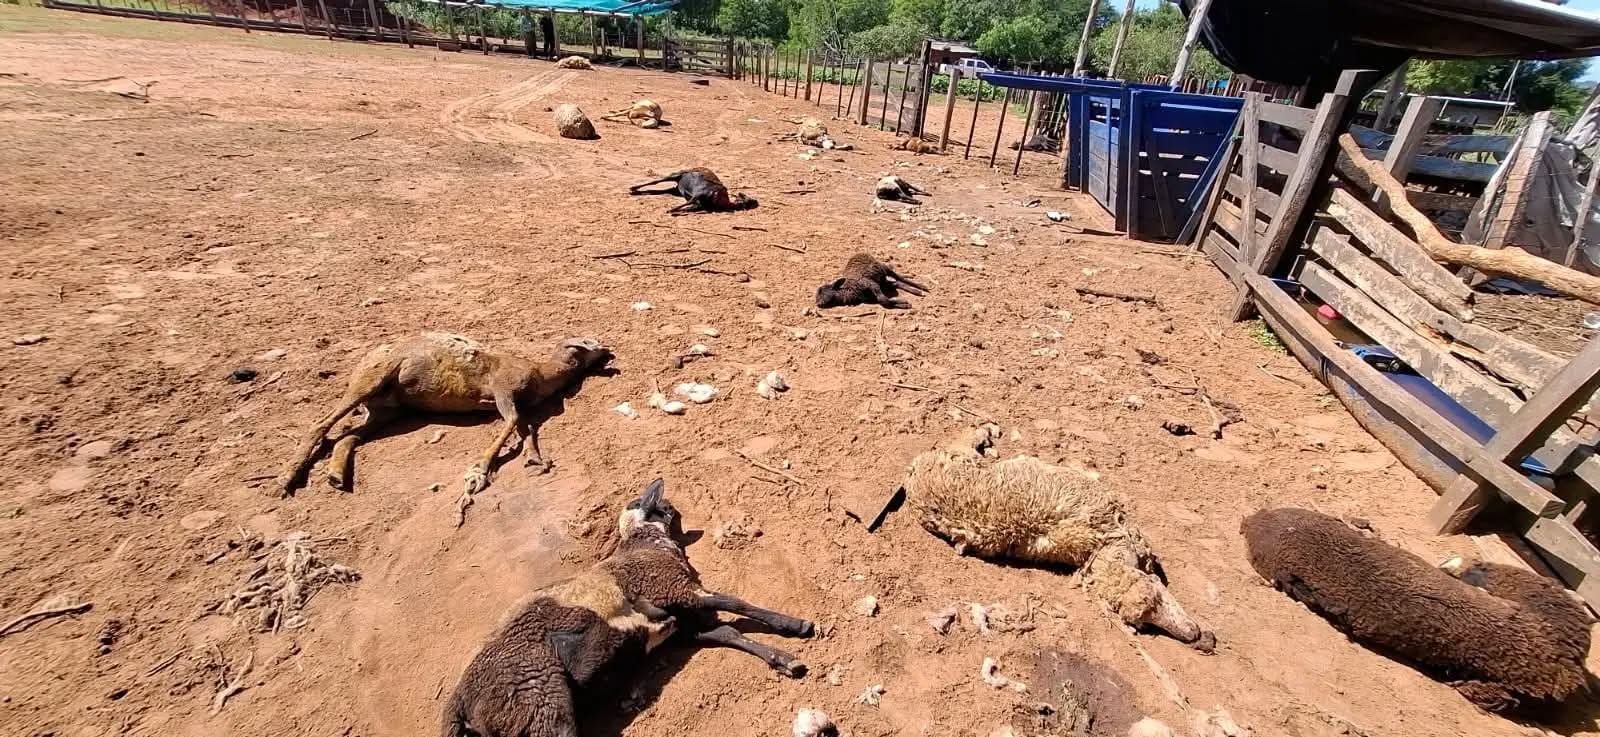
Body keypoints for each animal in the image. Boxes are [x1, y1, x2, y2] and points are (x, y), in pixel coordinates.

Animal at [275, 333, 612, 522]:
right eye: (588, 342)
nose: (610, 350)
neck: (544, 374)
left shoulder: (516, 402)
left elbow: (525, 426)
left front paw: (535, 460)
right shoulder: (503, 390)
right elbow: (514, 422)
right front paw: (481, 468)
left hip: (389, 411)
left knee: (348, 437)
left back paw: (335, 476)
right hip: (370, 380)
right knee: (321, 425)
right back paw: (285, 480)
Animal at [443, 479, 815, 737]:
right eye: (664, 506)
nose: (678, 515)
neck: (645, 541)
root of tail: (459, 701)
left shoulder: (686, 620)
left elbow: (728, 633)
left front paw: (784, 660)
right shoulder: (675, 588)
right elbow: (736, 603)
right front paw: (796, 625)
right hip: (538, 701)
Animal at [628, 168, 757, 214]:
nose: (753, 200)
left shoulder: (698, 202)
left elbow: (693, 207)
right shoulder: (698, 194)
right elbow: (687, 204)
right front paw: (670, 210)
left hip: (676, 189)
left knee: (659, 190)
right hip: (676, 174)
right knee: (656, 181)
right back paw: (633, 188)